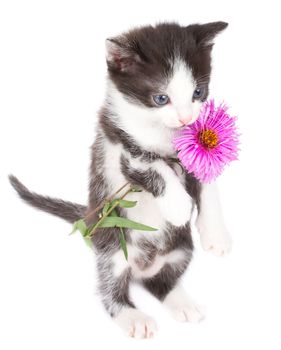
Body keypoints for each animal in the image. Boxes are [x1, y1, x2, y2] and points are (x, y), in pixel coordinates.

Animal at [9, 21, 231, 340]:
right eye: (161, 98)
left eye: (198, 92)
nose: (185, 119)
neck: (161, 131)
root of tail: (141, 268)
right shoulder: (122, 152)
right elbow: (156, 168)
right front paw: (179, 207)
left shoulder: (192, 148)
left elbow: (208, 182)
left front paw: (216, 235)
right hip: (112, 249)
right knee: (110, 289)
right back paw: (133, 316)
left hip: (181, 249)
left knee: (162, 281)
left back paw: (181, 301)